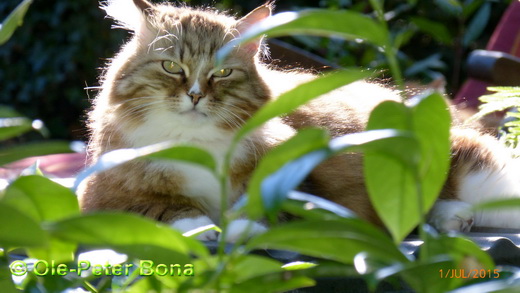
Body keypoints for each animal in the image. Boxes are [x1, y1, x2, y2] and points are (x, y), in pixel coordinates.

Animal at [77, 0, 520, 240]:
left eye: (223, 73)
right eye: (172, 67)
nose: (196, 95)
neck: (199, 148)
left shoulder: (304, 189)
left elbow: (258, 211)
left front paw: (243, 230)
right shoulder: (103, 200)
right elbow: (172, 212)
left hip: (484, 179)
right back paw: (452, 218)